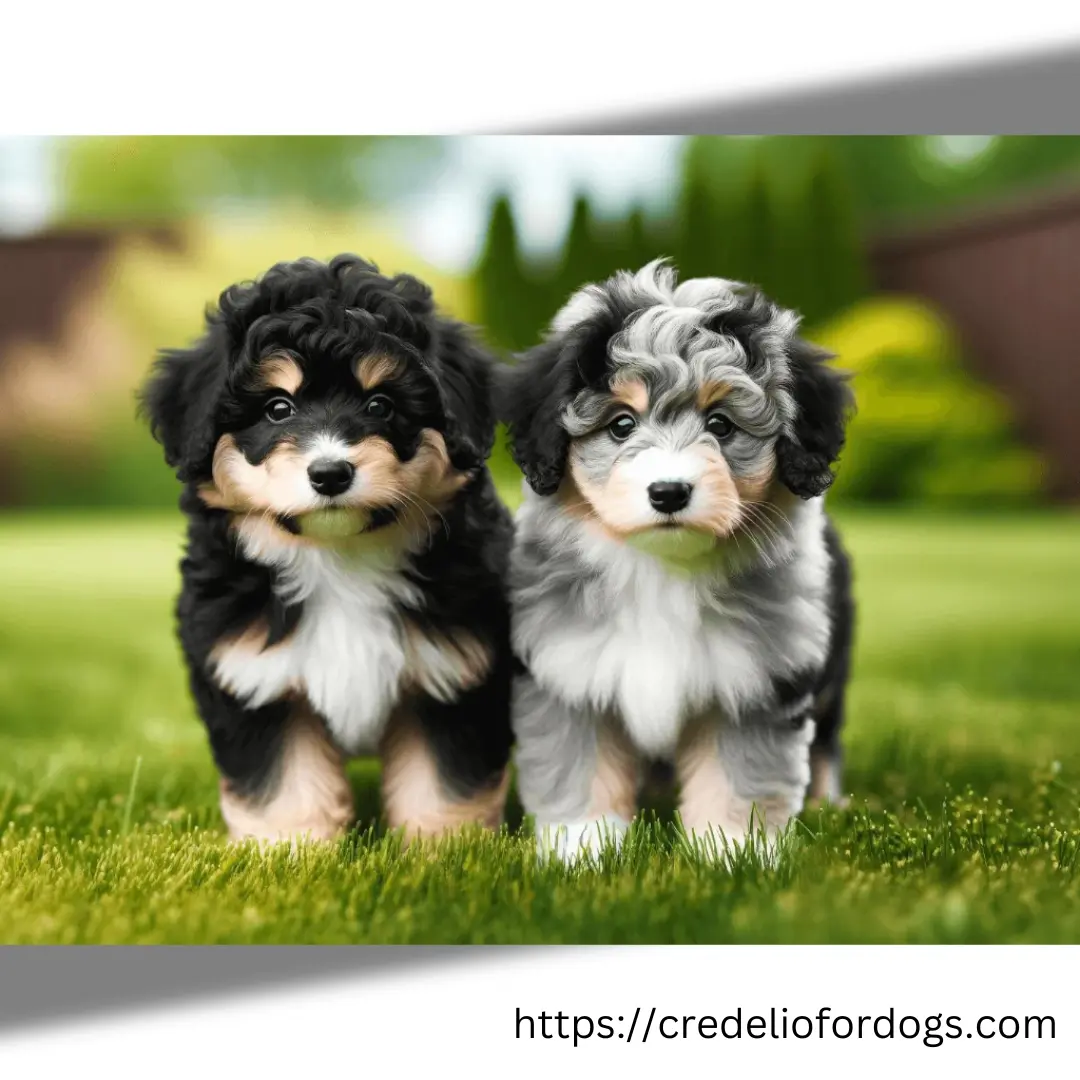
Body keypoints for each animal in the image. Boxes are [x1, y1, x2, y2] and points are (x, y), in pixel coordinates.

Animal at [142, 252, 514, 842]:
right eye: (278, 408)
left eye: (381, 404)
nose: (330, 473)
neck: (339, 558)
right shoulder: (255, 674)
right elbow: (283, 783)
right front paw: (290, 850)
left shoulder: (454, 671)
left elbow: (443, 782)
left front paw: (447, 849)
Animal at [494, 259, 851, 859]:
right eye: (621, 424)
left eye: (721, 424)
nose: (668, 492)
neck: (661, 568)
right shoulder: (568, 670)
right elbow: (578, 763)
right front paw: (583, 849)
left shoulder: (756, 679)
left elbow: (740, 772)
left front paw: (734, 851)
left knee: (825, 738)